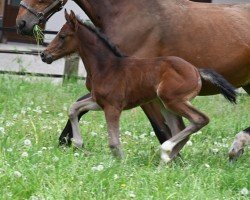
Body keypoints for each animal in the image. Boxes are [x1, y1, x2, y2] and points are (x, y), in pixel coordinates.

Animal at [16, 0, 249, 159]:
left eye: (63, 36)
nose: (21, 23)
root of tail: (197, 70)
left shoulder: (120, 103)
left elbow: (148, 132)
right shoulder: (102, 99)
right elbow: (76, 107)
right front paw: (73, 143)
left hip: (170, 100)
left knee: (197, 120)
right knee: (186, 125)